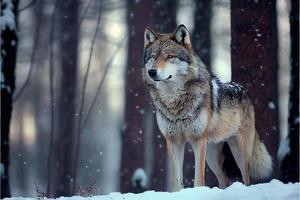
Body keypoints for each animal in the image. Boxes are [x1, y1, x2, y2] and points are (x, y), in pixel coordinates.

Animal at [142, 24, 272, 191]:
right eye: (153, 57)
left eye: (170, 57)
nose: (152, 72)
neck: (174, 101)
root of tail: (243, 91)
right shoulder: (173, 140)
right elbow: (177, 179)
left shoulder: (198, 140)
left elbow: (199, 178)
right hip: (212, 156)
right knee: (224, 179)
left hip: (238, 151)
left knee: (246, 178)